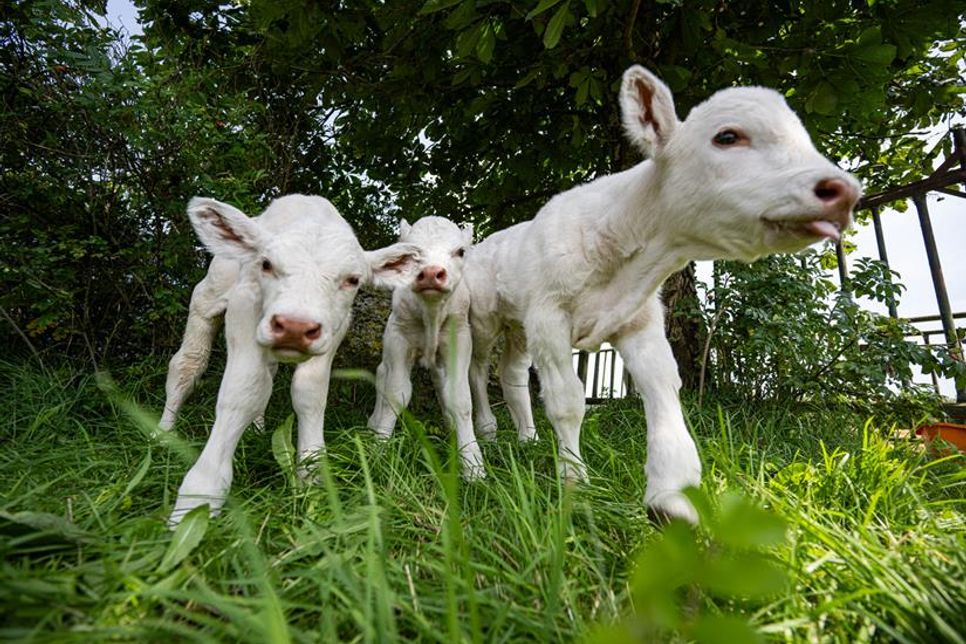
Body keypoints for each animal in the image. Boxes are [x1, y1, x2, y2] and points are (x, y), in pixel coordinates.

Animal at [167, 194, 424, 524]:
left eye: (353, 280)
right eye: (266, 264)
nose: (295, 326)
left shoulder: (334, 329)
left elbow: (308, 393)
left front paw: (311, 478)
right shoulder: (243, 306)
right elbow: (243, 390)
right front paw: (197, 500)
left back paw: (257, 430)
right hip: (211, 291)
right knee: (188, 362)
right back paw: (162, 433)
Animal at [366, 216, 488, 478]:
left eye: (460, 251)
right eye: (410, 254)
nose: (431, 273)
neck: (431, 312)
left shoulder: (460, 338)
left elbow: (459, 398)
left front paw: (472, 464)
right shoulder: (398, 338)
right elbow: (395, 394)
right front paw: (379, 449)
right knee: (382, 375)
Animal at [466, 65, 864, 524]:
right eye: (727, 136)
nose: (844, 191)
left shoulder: (640, 320)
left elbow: (662, 387)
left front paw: (673, 492)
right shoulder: (550, 316)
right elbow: (568, 401)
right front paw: (574, 481)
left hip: (518, 325)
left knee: (511, 374)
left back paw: (527, 438)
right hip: (485, 319)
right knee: (477, 371)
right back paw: (488, 432)